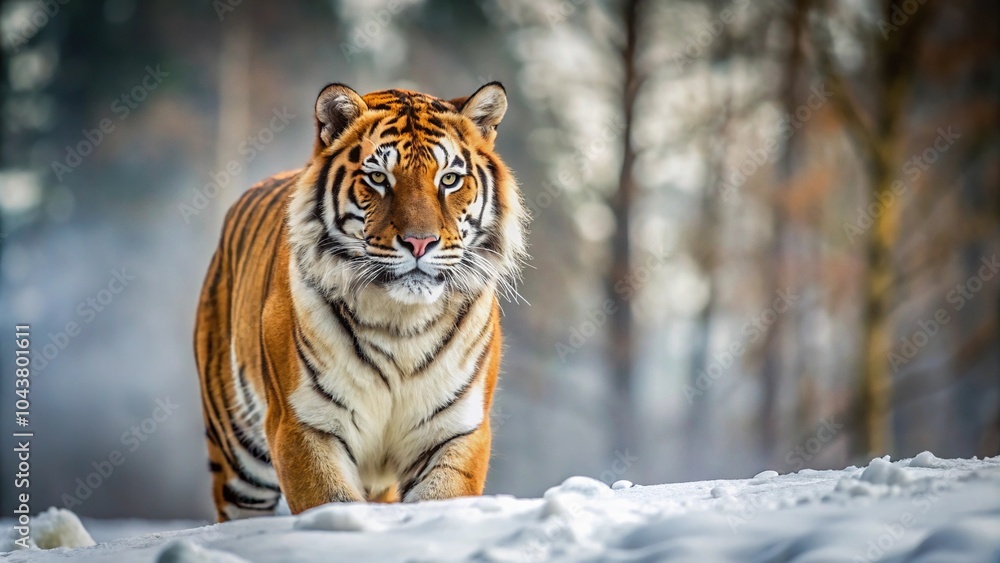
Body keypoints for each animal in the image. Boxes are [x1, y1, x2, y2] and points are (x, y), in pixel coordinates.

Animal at [193, 82, 528, 522]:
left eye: (450, 179)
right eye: (378, 178)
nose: (420, 242)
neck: (402, 323)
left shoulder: (456, 430)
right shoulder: (303, 426)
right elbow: (329, 502)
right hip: (238, 455)